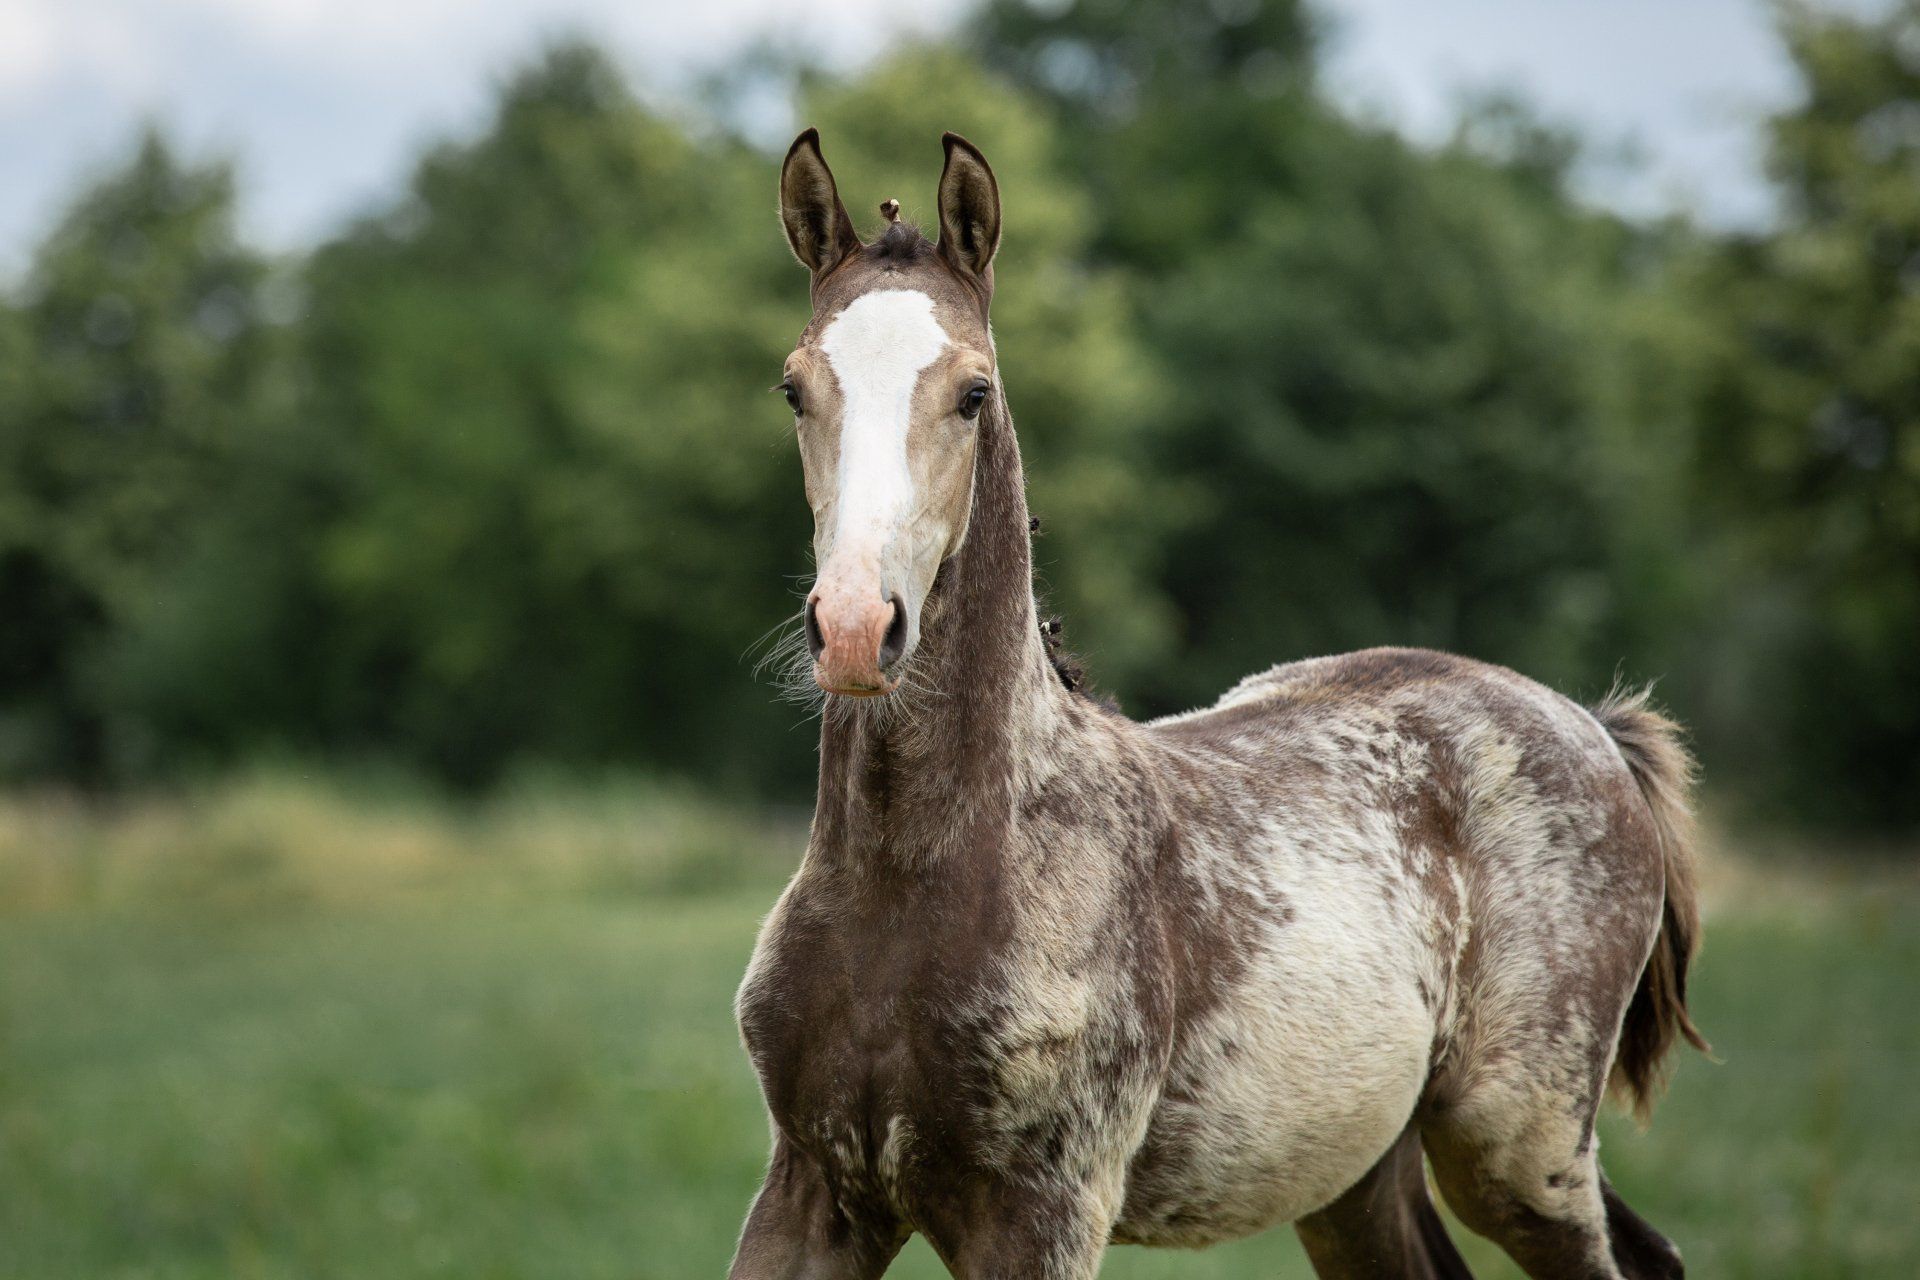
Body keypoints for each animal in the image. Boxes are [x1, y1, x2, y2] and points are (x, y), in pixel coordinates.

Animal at [730, 129, 1709, 1280]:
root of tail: (1592, 726)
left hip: (1520, 1146)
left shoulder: (1043, 1209)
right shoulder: (813, 1189)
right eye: (793, 389)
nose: (852, 627)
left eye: (973, 393)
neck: (918, 877)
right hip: (1355, 1174)